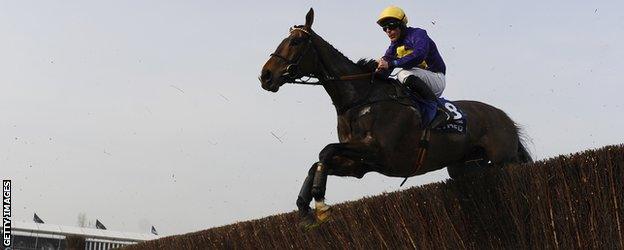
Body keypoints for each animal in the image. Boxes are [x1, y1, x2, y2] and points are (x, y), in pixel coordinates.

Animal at [258, 8, 532, 229]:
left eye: (295, 41)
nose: (265, 76)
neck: (361, 99)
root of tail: (505, 118)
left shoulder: (379, 151)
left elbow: (325, 151)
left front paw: (320, 203)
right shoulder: (359, 164)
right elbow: (318, 161)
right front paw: (306, 209)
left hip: (505, 161)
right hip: (463, 168)